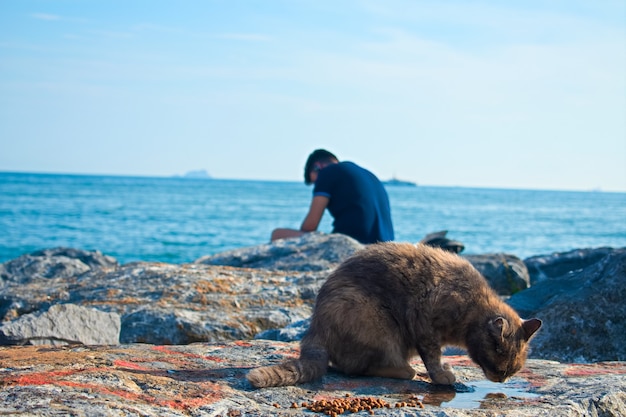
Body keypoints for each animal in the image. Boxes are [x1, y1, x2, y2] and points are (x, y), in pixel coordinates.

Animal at [246, 240, 540, 386]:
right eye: (501, 364)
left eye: (513, 369)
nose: (501, 379)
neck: (473, 305)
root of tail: (313, 329)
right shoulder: (425, 325)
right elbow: (433, 357)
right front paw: (441, 376)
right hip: (375, 319)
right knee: (359, 368)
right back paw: (407, 371)